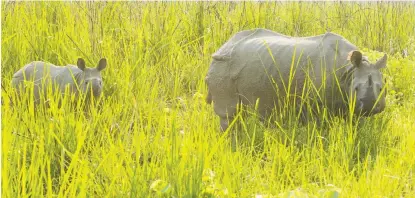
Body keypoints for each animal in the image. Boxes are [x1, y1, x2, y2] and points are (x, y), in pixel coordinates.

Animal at [206, 28, 388, 131]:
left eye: (382, 89)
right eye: (356, 88)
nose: (370, 106)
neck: (349, 70)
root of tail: (223, 46)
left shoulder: (349, 102)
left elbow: (355, 126)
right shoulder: (315, 104)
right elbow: (320, 130)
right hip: (222, 66)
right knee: (229, 115)